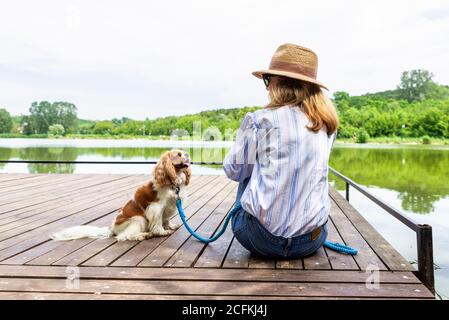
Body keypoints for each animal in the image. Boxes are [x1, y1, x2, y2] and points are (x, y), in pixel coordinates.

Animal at [50, 149, 191, 241]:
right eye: (178, 155)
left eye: (183, 152)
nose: (188, 154)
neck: (171, 180)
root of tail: (112, 228)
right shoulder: (156, 208)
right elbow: (157, 223)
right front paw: (162, 232)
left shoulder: (171, 205)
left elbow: (165, 219)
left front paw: (170, 226)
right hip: (138, 219)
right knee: (124, 236)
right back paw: (143, 235)